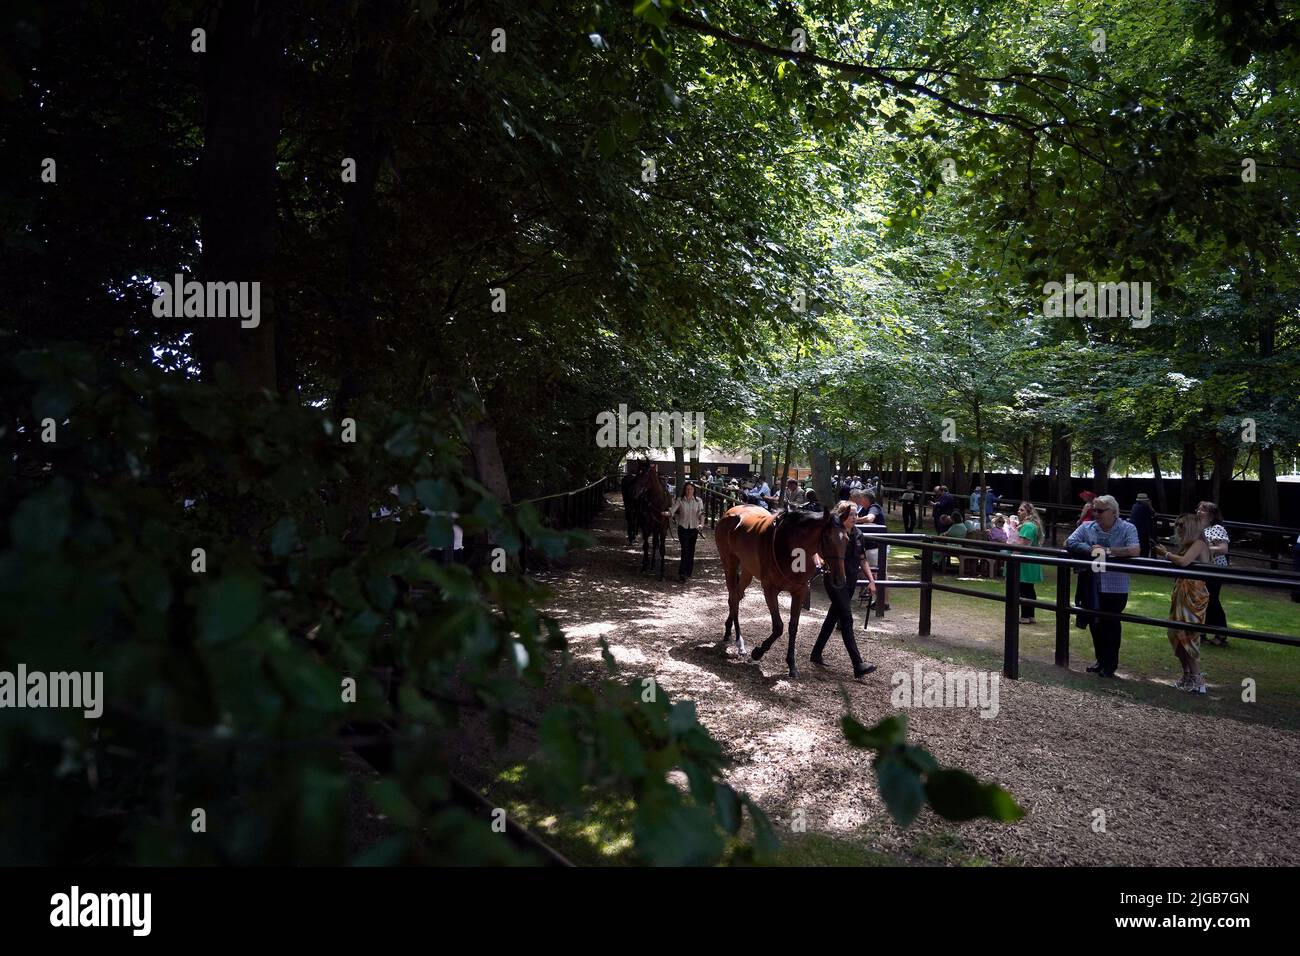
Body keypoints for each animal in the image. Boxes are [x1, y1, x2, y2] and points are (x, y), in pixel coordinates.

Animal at [714, 505, 850, 679]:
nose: (840, 579)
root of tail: (731, 511)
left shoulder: (800, 591)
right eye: (827, 539)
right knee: (733, 599)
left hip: (747, 569)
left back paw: (729, 631)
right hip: (730, 564)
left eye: (847, 539)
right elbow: (778, 626)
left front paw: (792, 665)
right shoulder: (770, 590)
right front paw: (758, 652)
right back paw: (739, 642)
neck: (790, 546)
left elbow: (793, 627)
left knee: (737, 596)